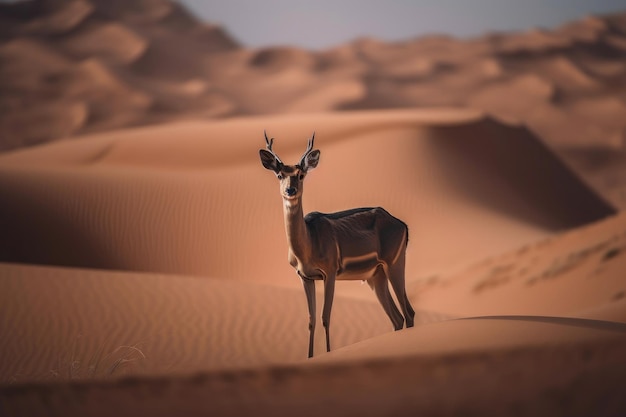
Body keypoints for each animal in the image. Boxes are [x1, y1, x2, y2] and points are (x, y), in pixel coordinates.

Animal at [258, 132, 414, 356]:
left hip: (394, 263)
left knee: (408, 312)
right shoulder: (305, 276)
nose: (290, 190)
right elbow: (311, 321)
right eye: (279, 175)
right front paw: (310, 356)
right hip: (375, 276)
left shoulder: (330, 272)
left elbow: (325, 317)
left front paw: (329, 353)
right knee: (397, 318)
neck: (308, 245)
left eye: (301, 174)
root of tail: (403, 225)